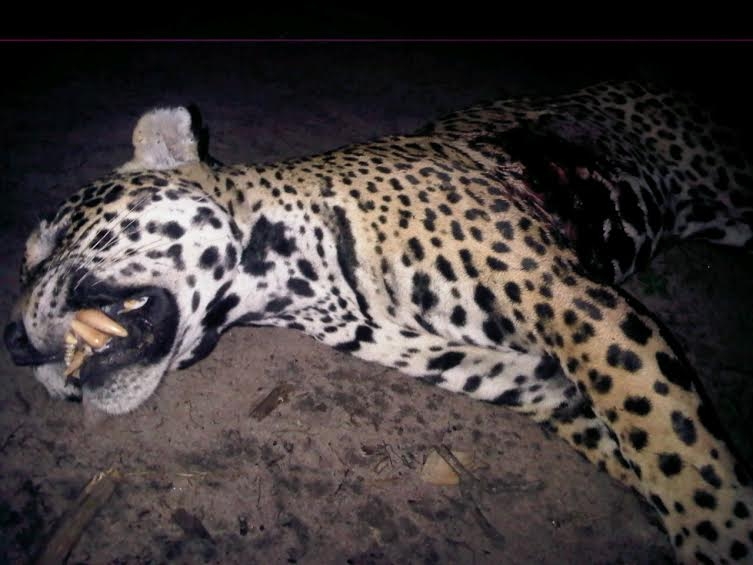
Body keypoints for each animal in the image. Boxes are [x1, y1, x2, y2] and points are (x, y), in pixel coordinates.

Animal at [5, 81, 753, 563]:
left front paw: (718, 536)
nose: (10, 343)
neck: (299, 289)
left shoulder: (571, 298)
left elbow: (682, 458)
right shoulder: (538, 383)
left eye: (54, 239)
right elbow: (648, 452)